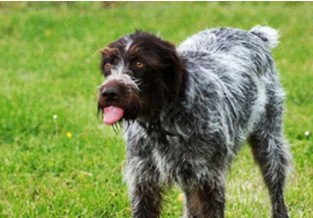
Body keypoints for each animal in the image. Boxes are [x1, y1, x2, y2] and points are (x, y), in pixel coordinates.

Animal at [97, 26, 290, 217]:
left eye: (139, 63)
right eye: (108, 65)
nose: (108, 93)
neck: (162, 127)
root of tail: (252, 34)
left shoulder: (208, 182)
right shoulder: (143, 183)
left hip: (269, 146)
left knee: (277, 193)